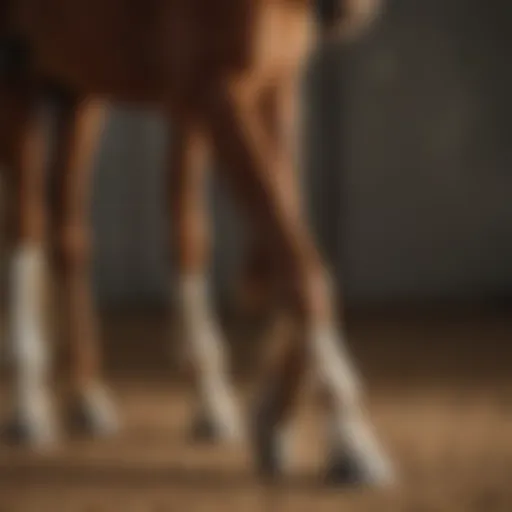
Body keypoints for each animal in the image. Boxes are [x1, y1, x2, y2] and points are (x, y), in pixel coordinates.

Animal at [0, 0, 396, 484]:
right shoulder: (214, 92)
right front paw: (350, 439)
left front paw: (270, 418)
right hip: (18, 78)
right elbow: (297, 264)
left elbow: (280, 246)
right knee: (25, 224)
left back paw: (85, 398)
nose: (350, 14)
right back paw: (28, 405)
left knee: (67, 231)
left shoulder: (274, 87)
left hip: (80, 89)